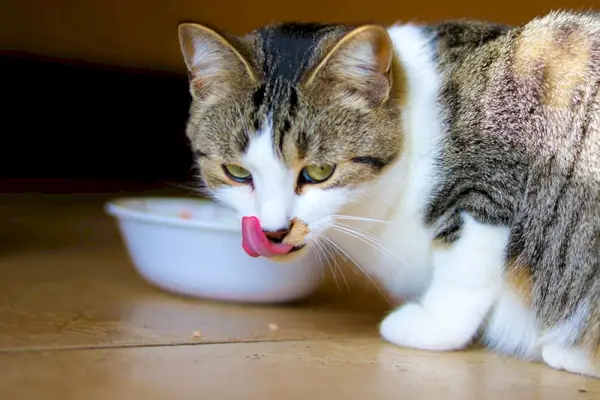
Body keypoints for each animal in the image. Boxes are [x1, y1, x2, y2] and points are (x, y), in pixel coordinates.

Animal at [176, 10, 600, 378]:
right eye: (237, 172)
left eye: (319, 172)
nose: (274, 231)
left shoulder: (493, 177)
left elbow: (464, 267)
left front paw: (431, 327)